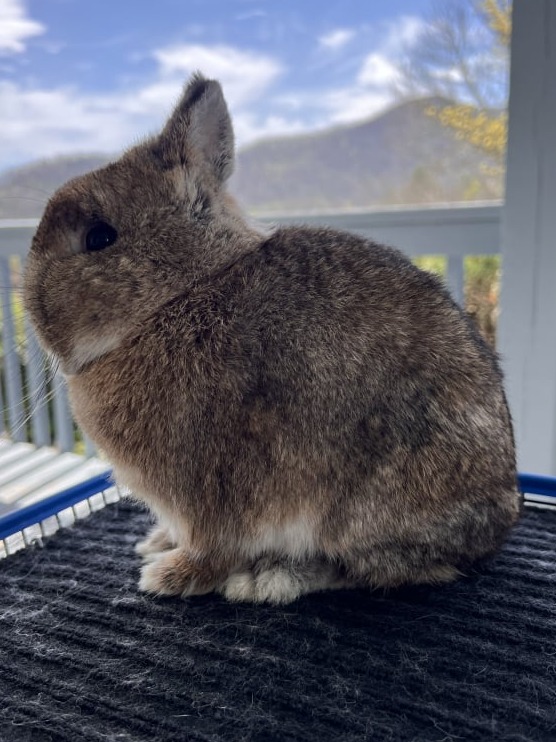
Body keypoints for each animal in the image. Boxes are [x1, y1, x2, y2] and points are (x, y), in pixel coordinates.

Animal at [24, 73, 521, 605]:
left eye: (99, 237)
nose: (33, 310)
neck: (180, 296)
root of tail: (496, 528)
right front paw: (156, 543)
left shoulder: (211, 493)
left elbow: (212, 547)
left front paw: (167, 576)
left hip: (363, 507)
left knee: (371, 568)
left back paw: (268, 579)